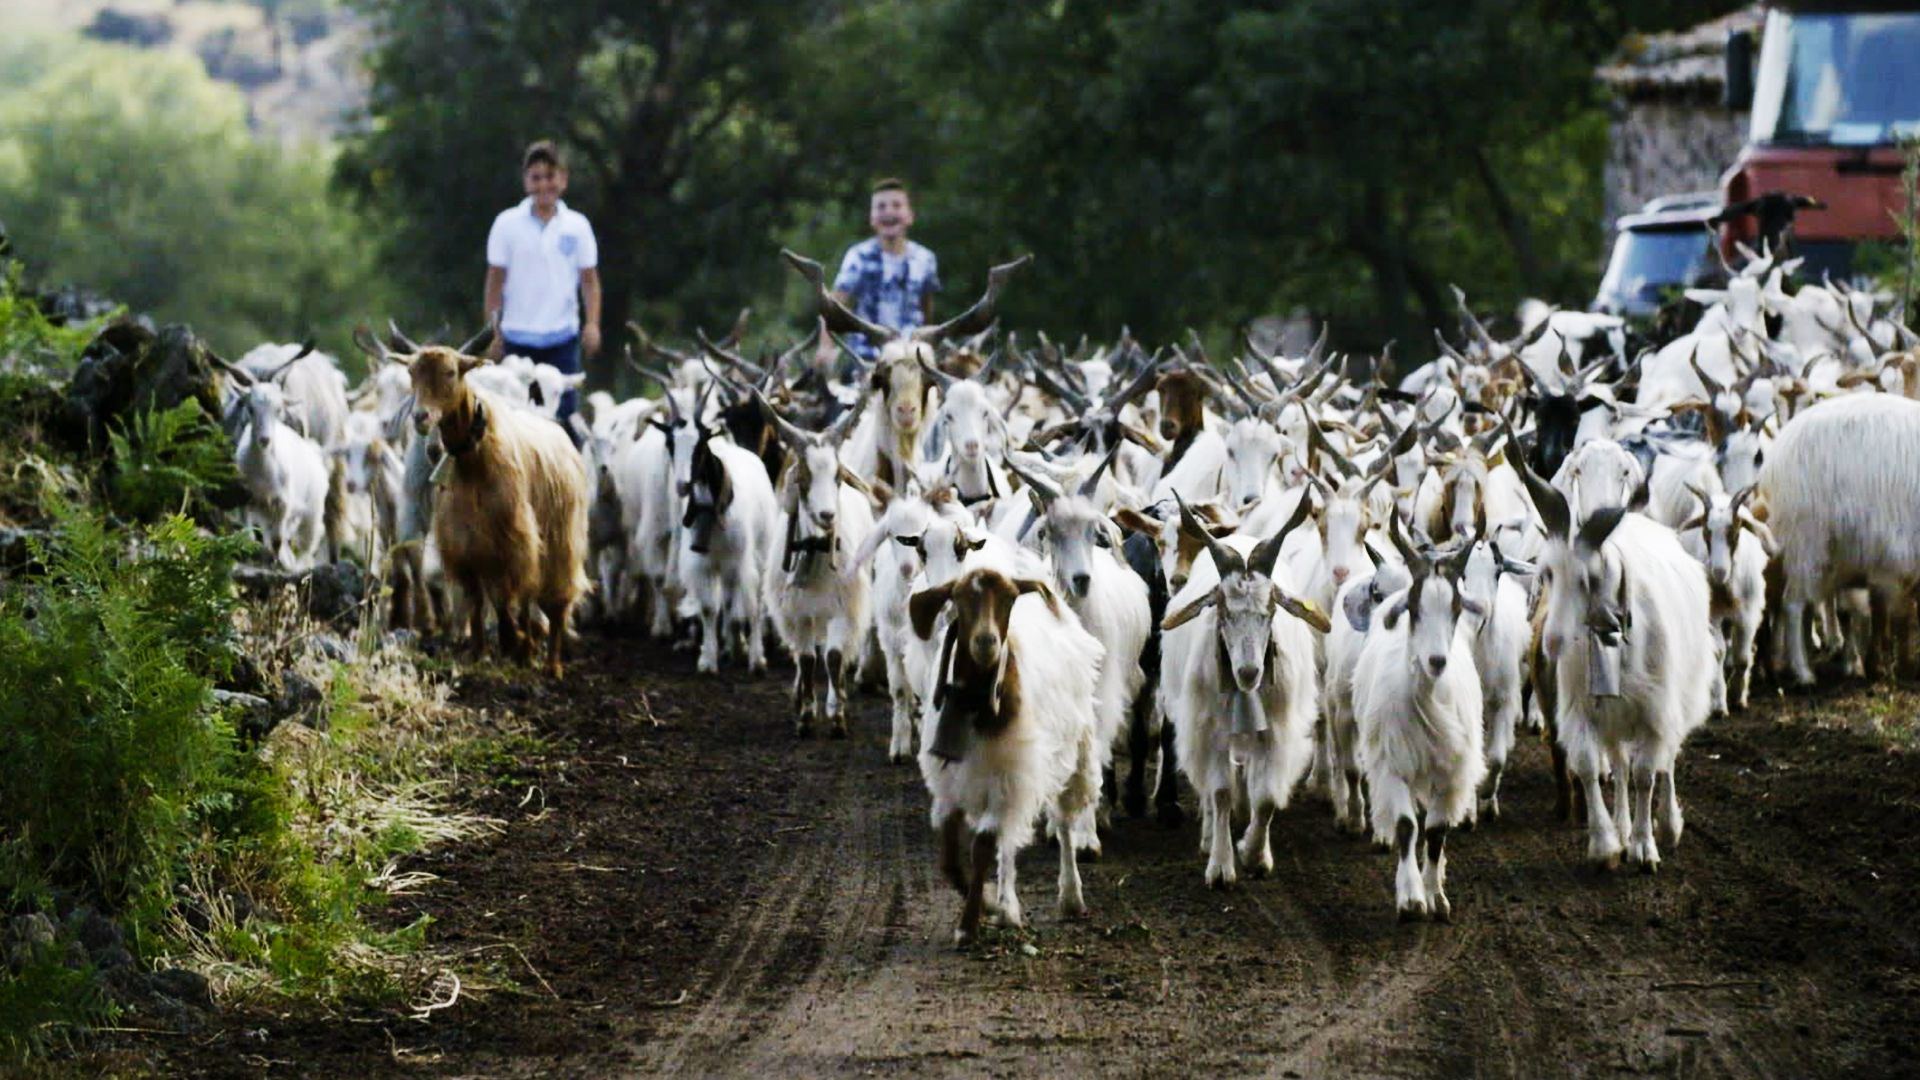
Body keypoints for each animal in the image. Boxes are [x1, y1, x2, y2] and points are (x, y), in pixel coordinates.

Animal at [403, 345, 583, 672]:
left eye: (451, 372)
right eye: (411, 372)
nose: (421, 416)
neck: (474, 460)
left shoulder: (510, 539)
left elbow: (501, 597)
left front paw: (511, 640)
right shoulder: (463, 544)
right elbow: (476, 599)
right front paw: (480, 650)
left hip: (560, 543)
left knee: (556, 602)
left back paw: (551, 664)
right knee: (526, 596)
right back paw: (528, 648)